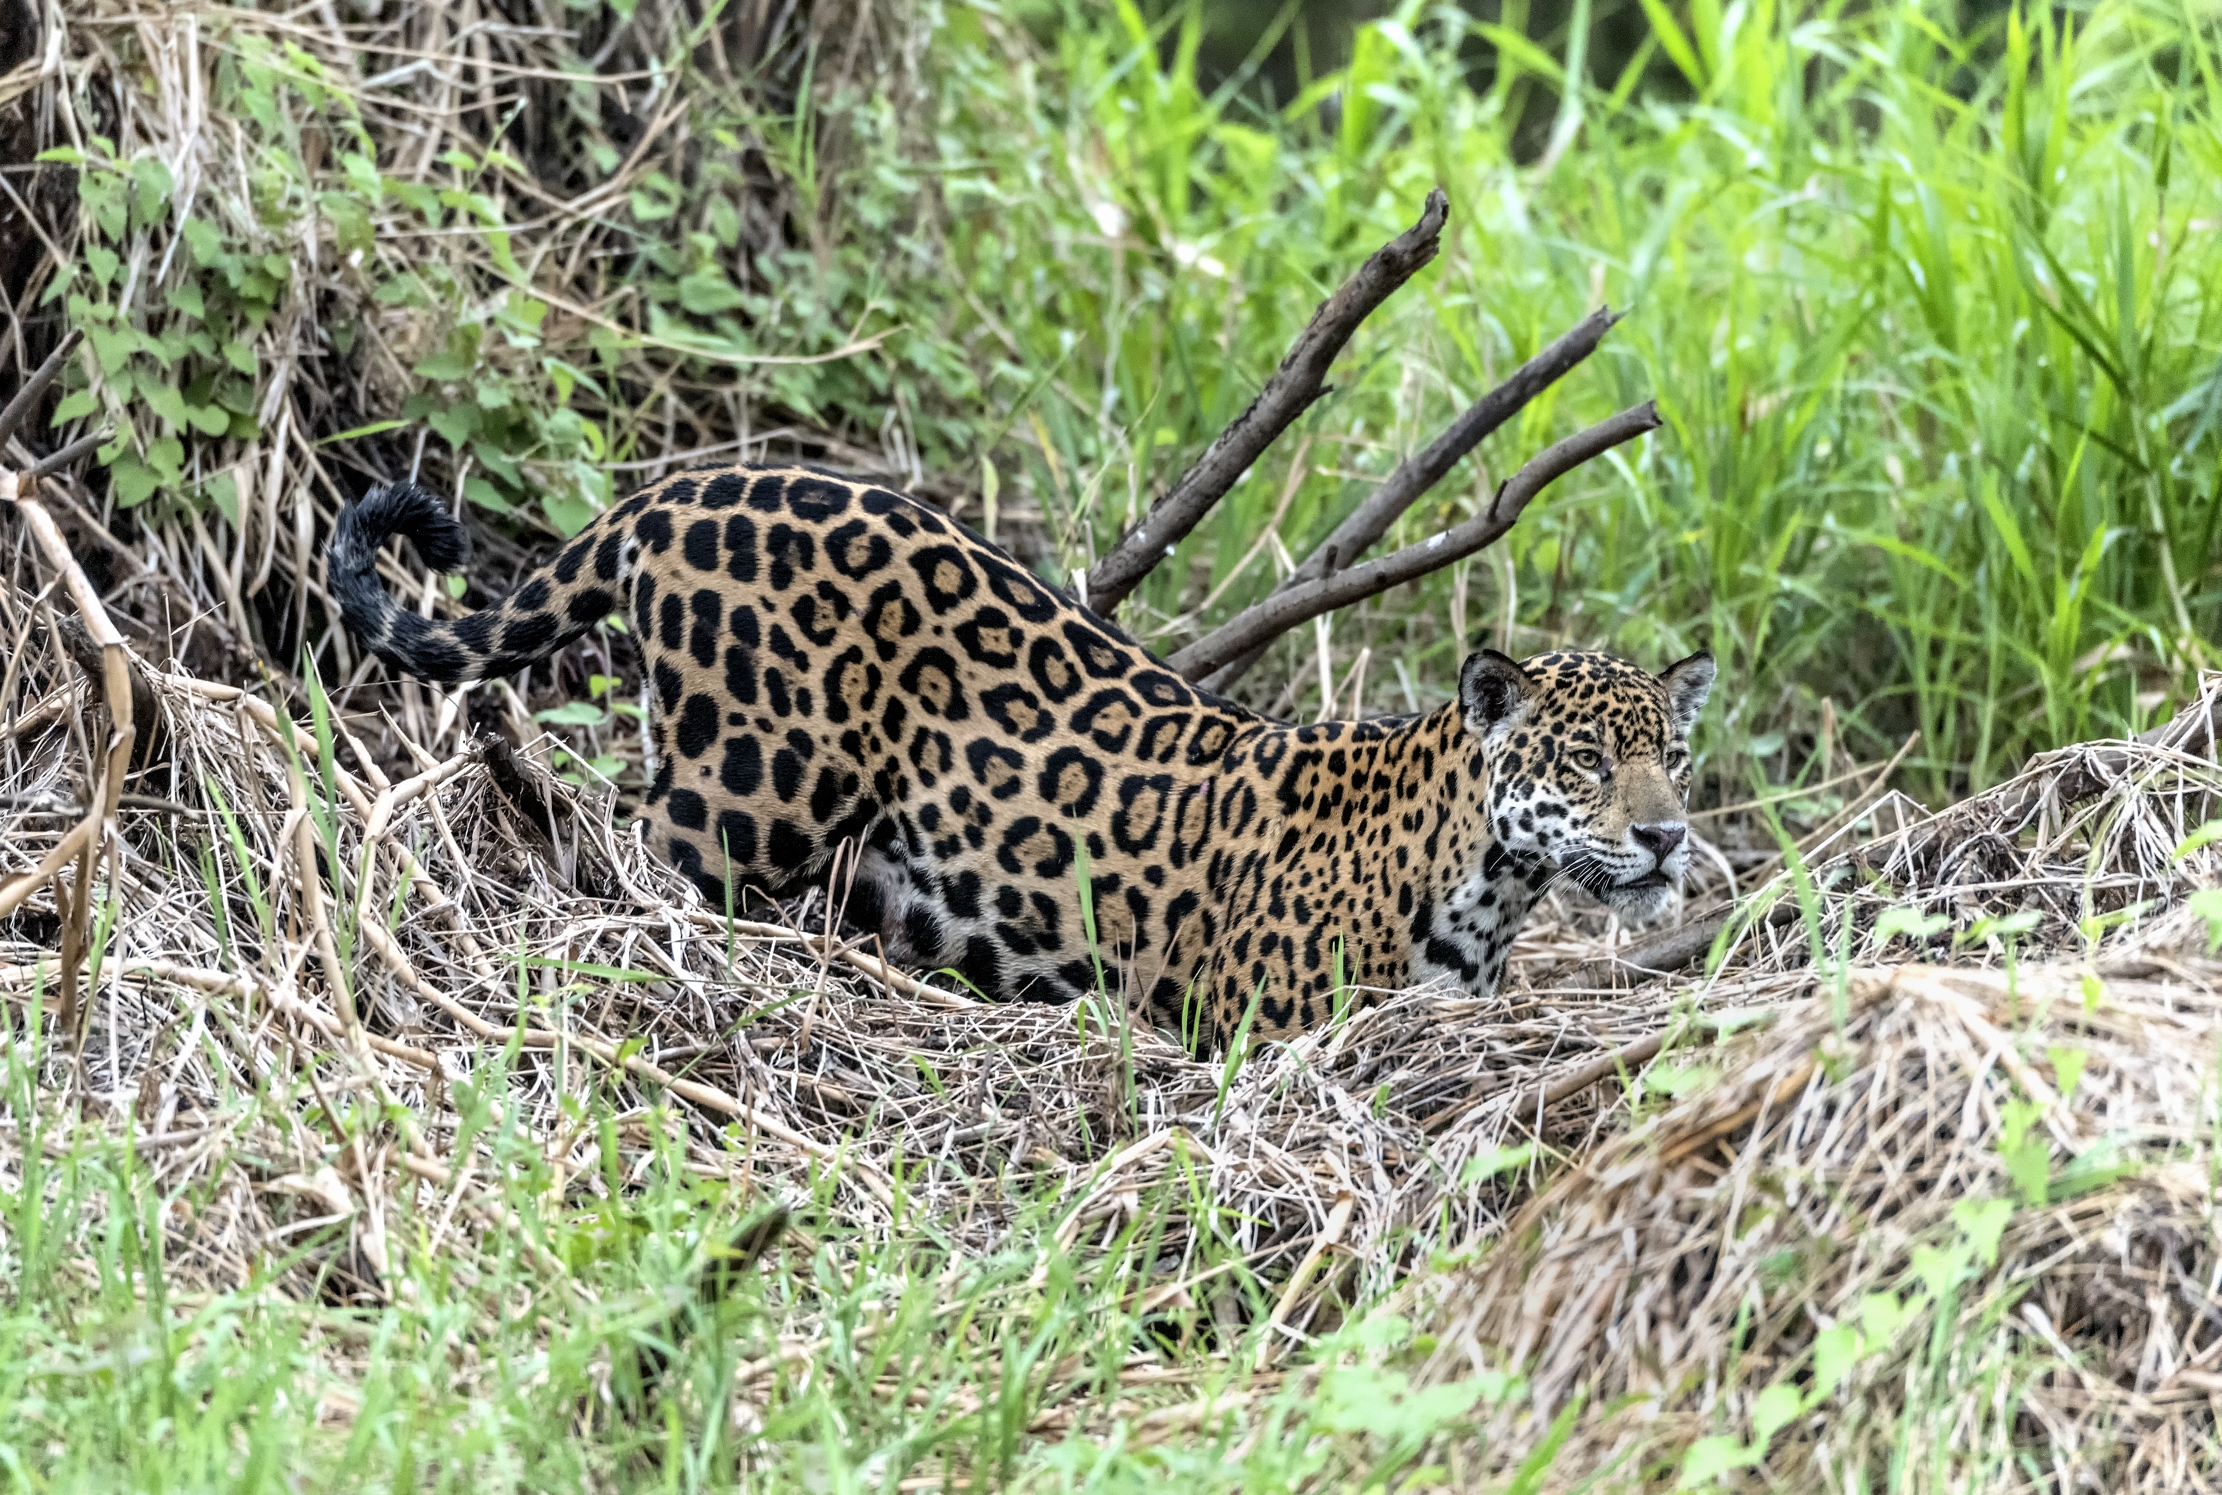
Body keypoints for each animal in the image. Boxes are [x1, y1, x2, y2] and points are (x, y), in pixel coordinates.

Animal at [327, 463, 1714, 1054]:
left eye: (1671, 758)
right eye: (1584, 762)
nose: (1663, 836)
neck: (1483, 882)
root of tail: (688, 483)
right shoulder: (1254, 1032)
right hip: (746, 792)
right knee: (631, 855)